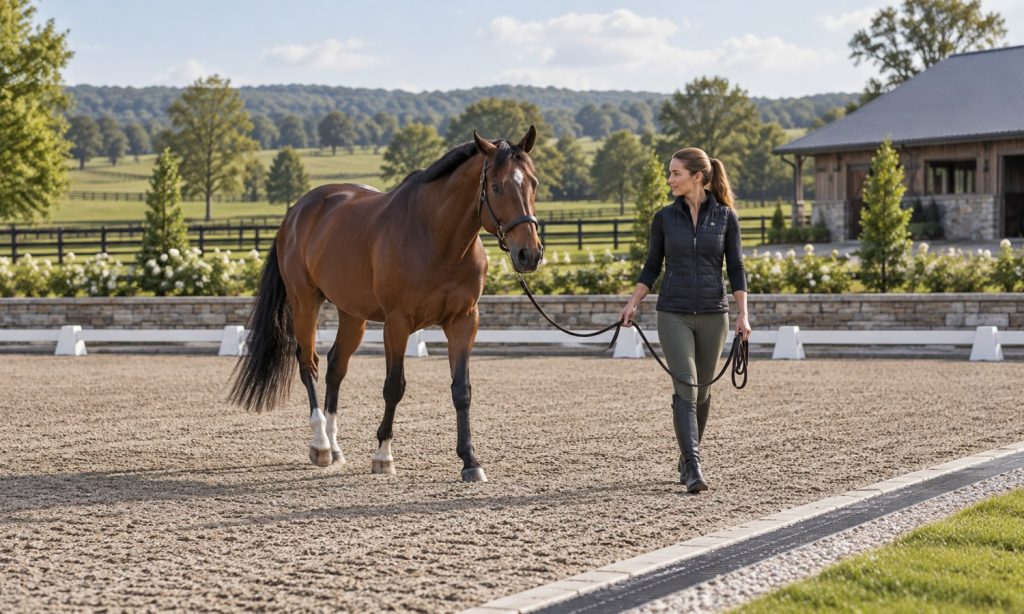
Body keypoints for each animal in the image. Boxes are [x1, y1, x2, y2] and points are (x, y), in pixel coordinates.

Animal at [229, 127, 544, 482]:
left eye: (533, 183)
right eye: (497, 186)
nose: (529, 254)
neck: (437, 239)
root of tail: (297, 212)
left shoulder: (464, 321)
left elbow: (461, 390)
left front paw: (470, 461)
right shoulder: (397, 323)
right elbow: (394, 386)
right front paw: (383, 455)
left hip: (352, 313)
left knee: (336, 366)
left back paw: (335, 447)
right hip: (304, 301)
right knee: (309, 363)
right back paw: (320, 445)